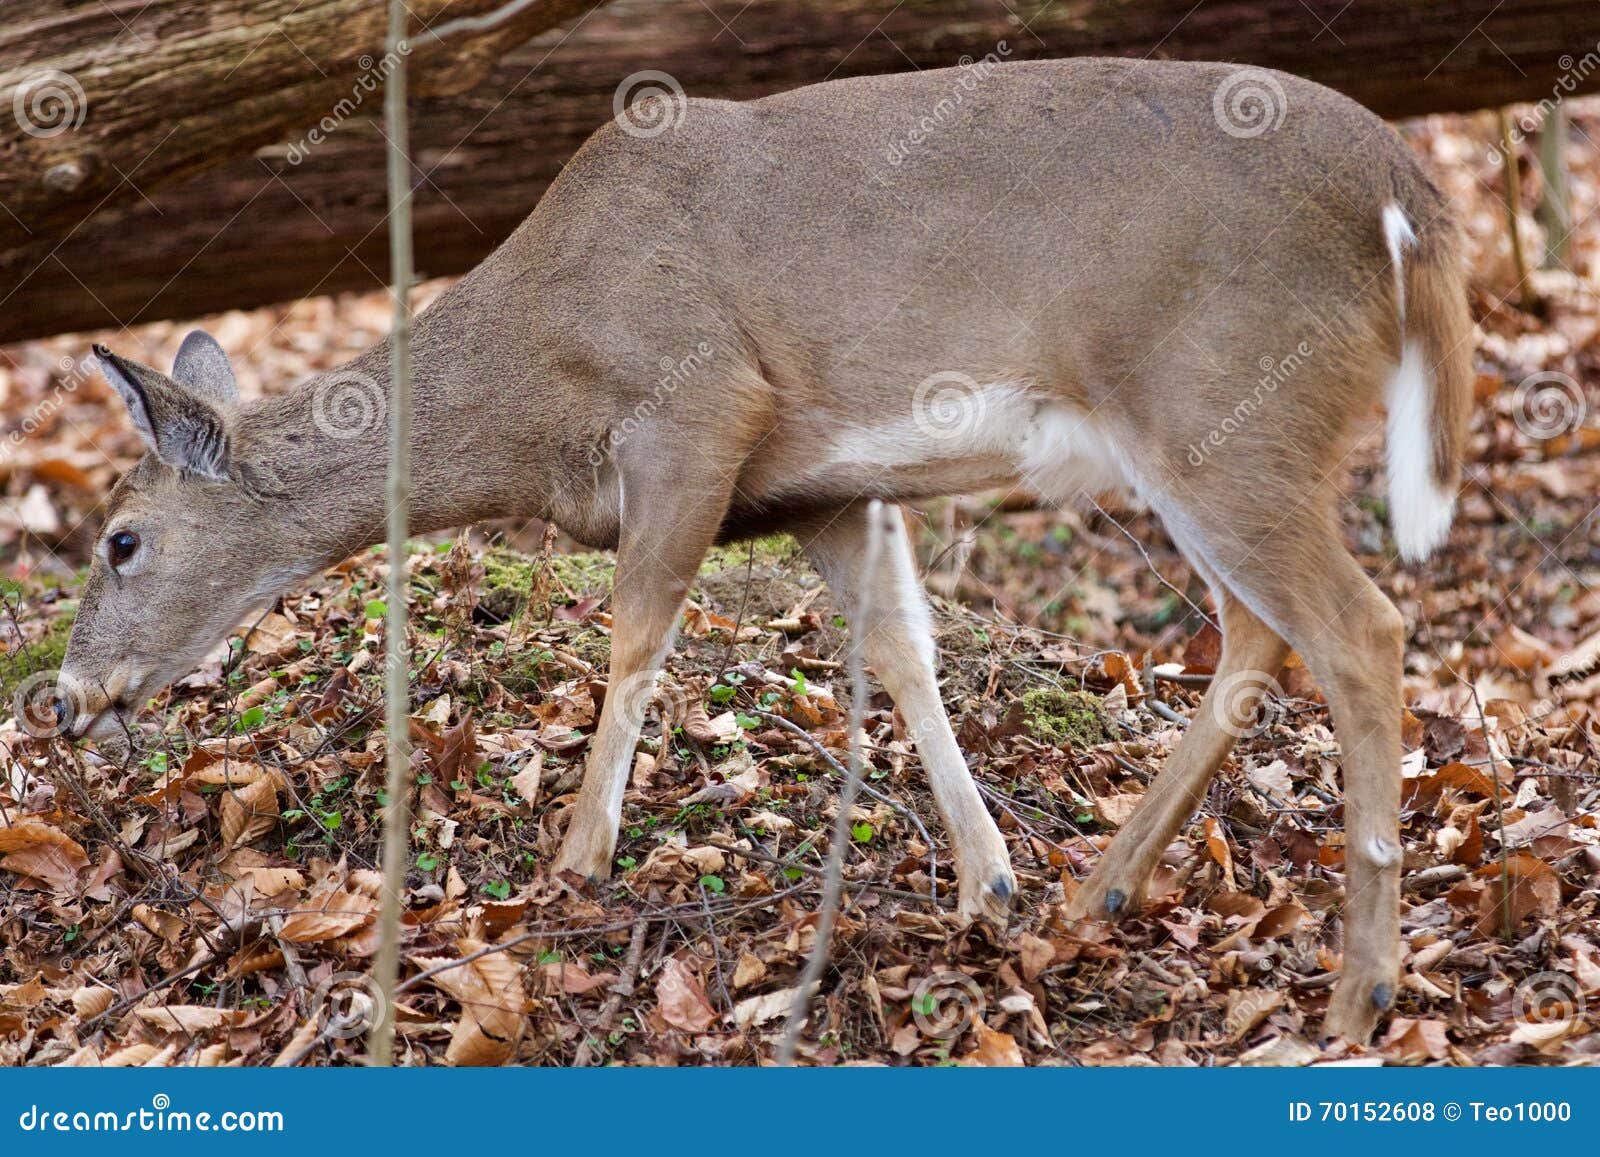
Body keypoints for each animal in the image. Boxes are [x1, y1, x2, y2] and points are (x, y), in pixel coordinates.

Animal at [50, 58, 1471, 1044]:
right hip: (1221, 436)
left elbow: (636, 629)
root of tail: (1406, 195)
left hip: (1224, 401)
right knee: (1260, 632)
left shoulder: (698, 403)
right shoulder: (820, 491)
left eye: (123, 538)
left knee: (1360, 628)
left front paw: (575, 862)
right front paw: (989, 883)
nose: (64, 699)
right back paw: (1097, 897)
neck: (532, 381)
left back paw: (1356, 996)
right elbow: (901, 651)